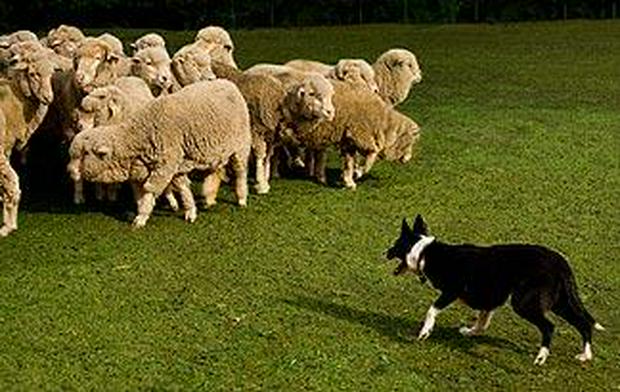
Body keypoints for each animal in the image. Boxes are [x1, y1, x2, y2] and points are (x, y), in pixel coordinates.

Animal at [0, 52, 56, 236]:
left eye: (51, 74)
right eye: (33, 74)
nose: (48, 98)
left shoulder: (7, 147)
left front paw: (9, 223)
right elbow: (12, 183)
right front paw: (8, 226)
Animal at [66, 79, 251, 227]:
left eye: (84, 154)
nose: (69, 172)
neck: (141, 133)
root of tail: (227, 83)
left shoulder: (165, 165)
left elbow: (150, 189)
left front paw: (141, 217)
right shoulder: (169, 165)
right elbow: (181, 187)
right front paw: (190, 210)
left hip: (241, 146)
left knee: (240, 171)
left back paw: (241, 198)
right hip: (216, 150)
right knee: (215, 170)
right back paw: (209, 197)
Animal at [211, 60, 336, 194]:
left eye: (330, 95)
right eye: (312, 94)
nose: (330, 112)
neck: (279, 99)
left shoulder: (271, 135)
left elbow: (267, 156)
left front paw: (265, 179)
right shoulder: (256, 131)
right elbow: (260, 155)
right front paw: (260, 184)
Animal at [386, 214, 604, 364]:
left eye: (395, 244)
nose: (384, 252)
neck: (425, 253)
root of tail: (561, 262)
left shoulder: (451, 291)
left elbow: (431, 310)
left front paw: (425, 331)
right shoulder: (488, 299)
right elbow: (482, 322)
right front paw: (471, 332)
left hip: (524, 303)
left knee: (550, 327)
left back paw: (541, 357)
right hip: (560, 303)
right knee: (584, 323)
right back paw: (586, 355)